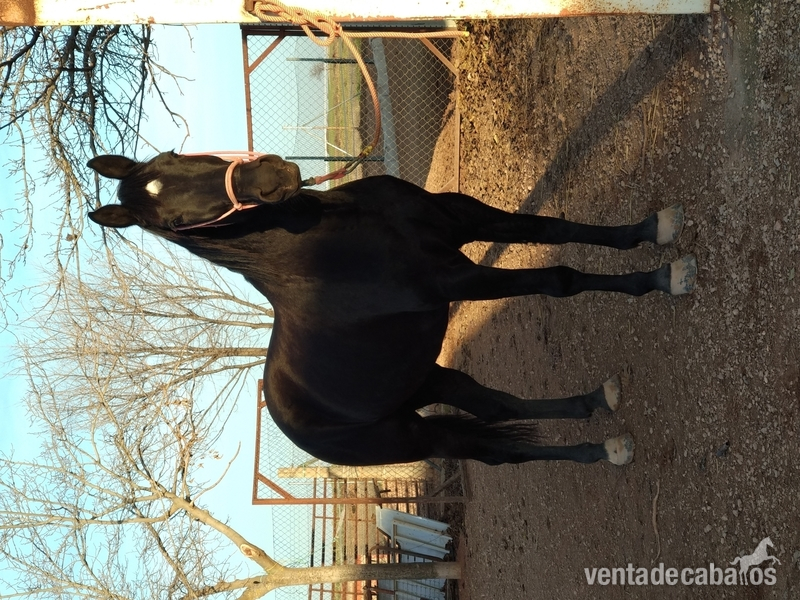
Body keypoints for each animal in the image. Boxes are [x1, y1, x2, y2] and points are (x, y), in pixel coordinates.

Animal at [87, 151, 696, 467]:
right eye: (174, 223)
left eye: (173, 155)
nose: (274, 176)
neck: (333, 238)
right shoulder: (456, 278)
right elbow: (559, 279)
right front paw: (664, 278)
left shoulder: (462, 217)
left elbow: (551, 228)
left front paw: (654, 229)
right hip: (415, 435)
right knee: (499, 452)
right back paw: (604, 449)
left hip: (425, 379)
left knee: (494, 406)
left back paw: (596, 404)